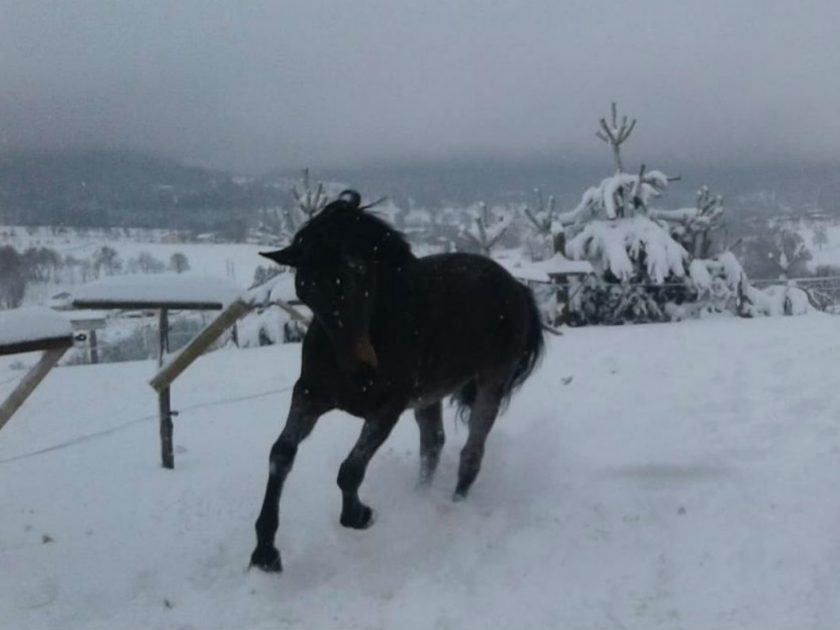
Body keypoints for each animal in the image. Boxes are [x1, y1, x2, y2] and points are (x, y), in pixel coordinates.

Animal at [249, 190, 548, 572]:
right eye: (305, 290)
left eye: (358, 273)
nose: (360, 369)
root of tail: (516, 287)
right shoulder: (309, 395)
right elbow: (281, 454)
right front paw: (265, 551)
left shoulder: (386, 408)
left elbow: (350, 470)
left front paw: (361, 515)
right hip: (430, 395)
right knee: (433, 445)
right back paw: (418, 500)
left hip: (491, 381)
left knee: (471, 452)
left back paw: (453, 508)